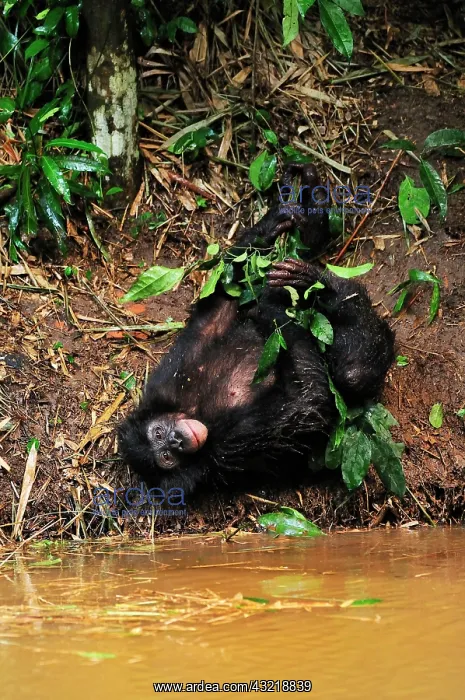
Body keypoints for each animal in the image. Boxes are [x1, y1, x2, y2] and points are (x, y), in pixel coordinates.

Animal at [118, 164, 394, 494]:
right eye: (166, 458)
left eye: (159, 434)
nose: (175, 440)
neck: (194, 410)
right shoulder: (228, 447)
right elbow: (307, 403)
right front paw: (270, 307)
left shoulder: (178, 364)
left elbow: (225, 295)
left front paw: (278, 220)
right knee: (352, 375)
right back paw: (330, 290)